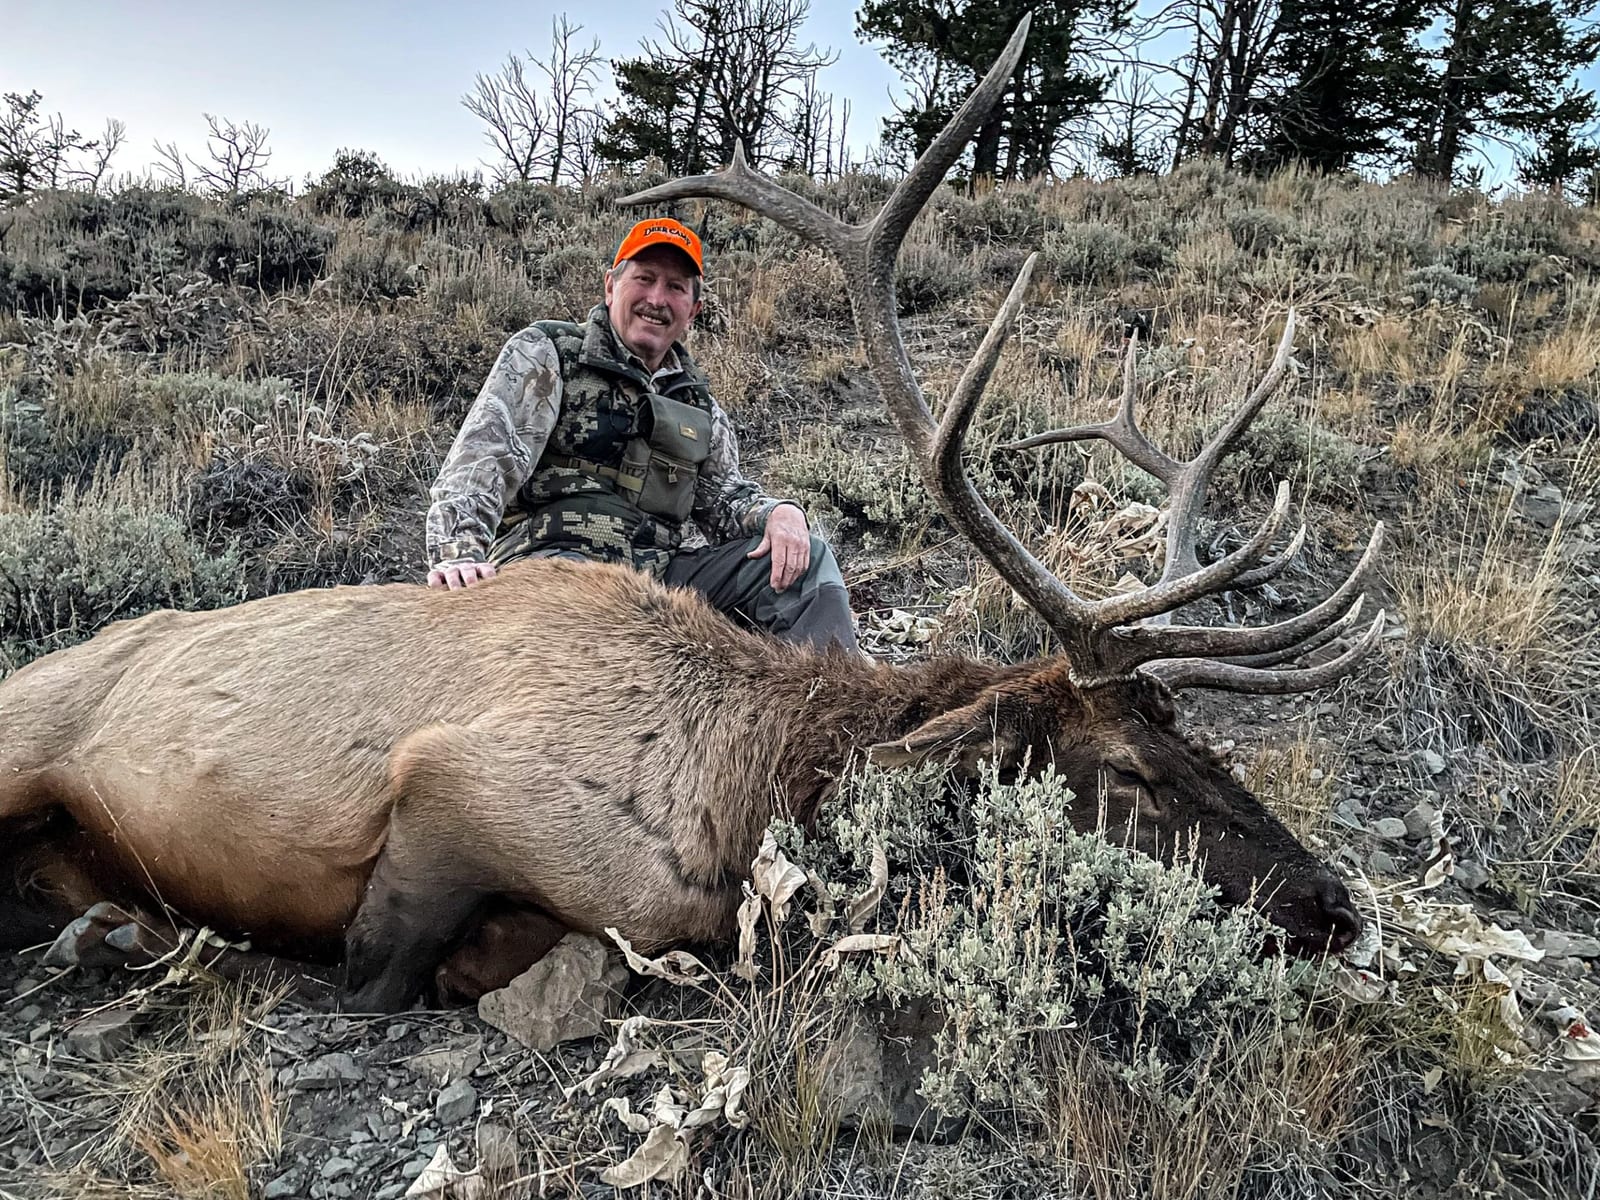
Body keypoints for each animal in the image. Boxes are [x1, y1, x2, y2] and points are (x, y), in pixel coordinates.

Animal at [0, 18, 1381, 1014]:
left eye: (1200, 742)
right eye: (1131, 776)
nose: (1340, 906)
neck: (745, 791)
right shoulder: (454, 793)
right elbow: (380, 973)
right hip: (27, 737)